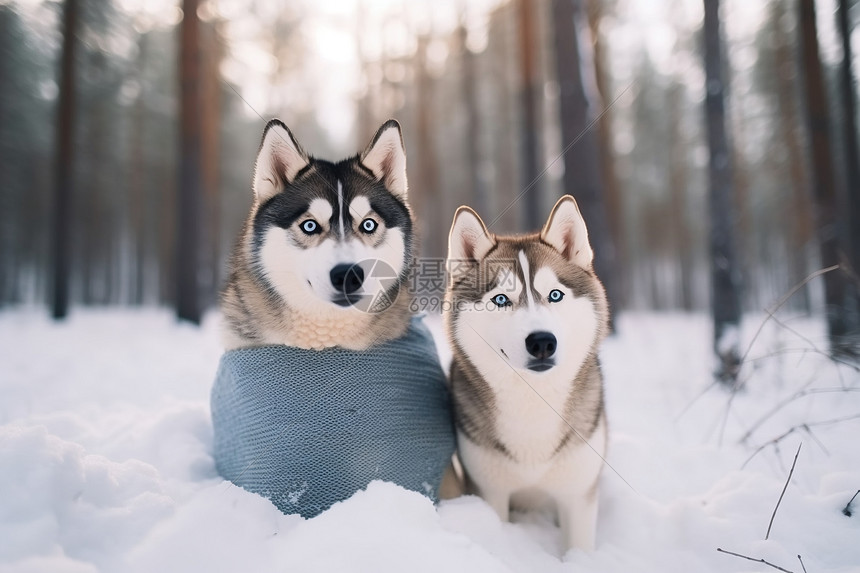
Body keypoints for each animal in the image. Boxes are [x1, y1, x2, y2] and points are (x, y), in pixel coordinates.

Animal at [444, 196, 612, 548]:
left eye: (555, 295)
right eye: (501, 299)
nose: (542, 342)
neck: (533, 401)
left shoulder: (578, 495)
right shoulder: (490, 490)